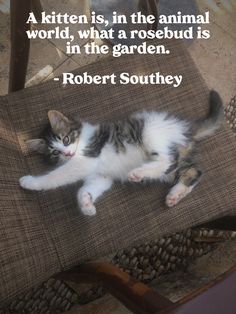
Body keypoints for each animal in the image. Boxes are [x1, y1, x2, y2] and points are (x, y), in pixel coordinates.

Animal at [19, 89, 223, 215]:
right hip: (176, 164)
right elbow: (86, 189)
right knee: (194, 171)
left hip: (149, 131)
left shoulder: (87, 159)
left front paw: (31, 182)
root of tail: (186, 127)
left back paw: (139, 173)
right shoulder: (101, 176)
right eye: (54, 153)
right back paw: (176, 194)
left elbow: (56, 176)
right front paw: (86, 204)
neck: (81, 137)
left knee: (168, 160)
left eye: (66, 139)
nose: (67, 154)